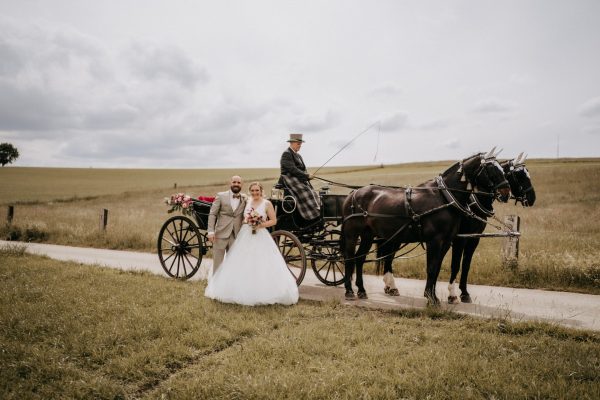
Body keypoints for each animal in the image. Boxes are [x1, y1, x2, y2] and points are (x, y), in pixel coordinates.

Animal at [340, 149, 508, 304]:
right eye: (491, 168)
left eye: (502, 169)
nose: (506, 192)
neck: (444, 198)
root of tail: (353, 193)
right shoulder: (436, 241)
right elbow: (433, 268)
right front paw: (432, 297)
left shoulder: (447, 241)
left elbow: (438, 268)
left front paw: (432, 295)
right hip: (351, 234)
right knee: (349, 258)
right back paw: (349, 291)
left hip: (368, 235)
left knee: (360, 259)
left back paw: (362, 290)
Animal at [448, 154, 536, 304]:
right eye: (520, 176)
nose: (532, 198)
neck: (472, 204)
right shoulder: (460, 239)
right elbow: (455, 265)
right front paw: (453, 294)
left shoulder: (473, 238)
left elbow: (466, 265)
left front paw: (464, 292)